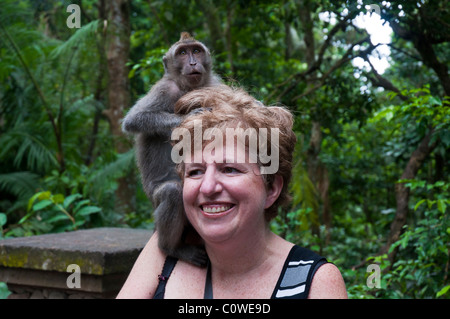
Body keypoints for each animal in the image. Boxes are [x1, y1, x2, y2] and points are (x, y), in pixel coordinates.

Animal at [122, 31, 222, 268]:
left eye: (196, 51)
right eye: (182, 53)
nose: (193, 62)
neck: (189, 88)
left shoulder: (214, 84)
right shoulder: (164, 89)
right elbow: (134, 119)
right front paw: (193, 116)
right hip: (155, 199)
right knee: (172, 193)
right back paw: (171, 248)